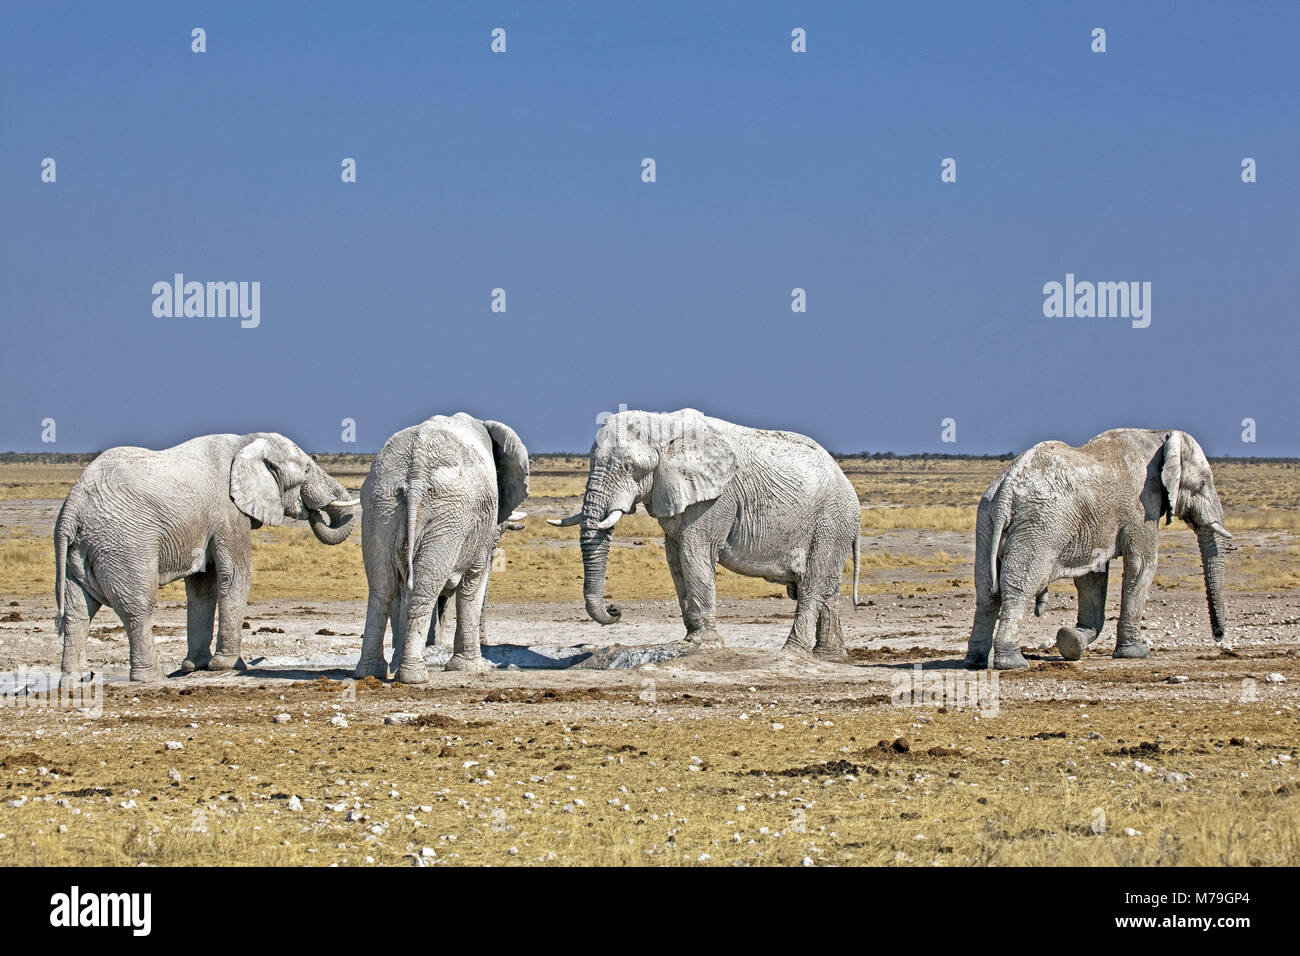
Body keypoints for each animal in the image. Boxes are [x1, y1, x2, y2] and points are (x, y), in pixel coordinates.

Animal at [52, 429, 358, 686]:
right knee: (137, 607)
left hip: (78, 550)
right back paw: (151, 677)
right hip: (124, 543)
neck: (246, 441)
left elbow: (203, 585)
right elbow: (235, 575)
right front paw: (229, 666)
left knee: (78, 611)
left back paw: (75, 681)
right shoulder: (228, 510)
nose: (315, 510)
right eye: (306, 469)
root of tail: (71, 509)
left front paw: (195, 666)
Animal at [356, 416, 527, 686]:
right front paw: (473, 668)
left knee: (383, 587)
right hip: (448, 514)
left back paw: (371, 672)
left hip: (380, 506)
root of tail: (415, 476)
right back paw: (413, 676)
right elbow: (472, 585)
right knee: (423, 587)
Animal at [548, 408, 863, 660]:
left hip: (831, 520)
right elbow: (675, 558)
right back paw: (829, 657)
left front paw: (704, 643)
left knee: (812, 585)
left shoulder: (717, 499)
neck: (663, 425)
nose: (615, 609)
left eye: (630, 467)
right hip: (835, 523)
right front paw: (690, 639)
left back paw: (792, 653)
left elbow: (695, 551)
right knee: (828, 588)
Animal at [967, 429, 1227, 671]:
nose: (1218, 636)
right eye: (1202, 484)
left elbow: (1092, 577)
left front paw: (1072, 639)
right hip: (1040, 524)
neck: (1159, 436)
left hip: (987, 520)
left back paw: (976, 662)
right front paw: (1136, 654)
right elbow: (1142, 565)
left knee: (986, 592)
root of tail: (1007, 487)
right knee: (1019, 587)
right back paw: (1013, 663)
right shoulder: (1142, 506)